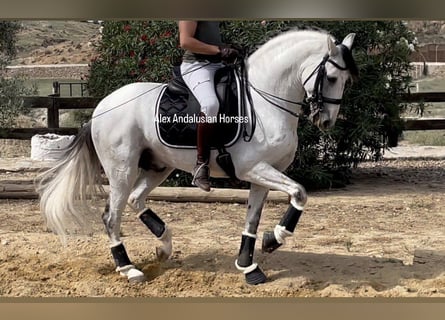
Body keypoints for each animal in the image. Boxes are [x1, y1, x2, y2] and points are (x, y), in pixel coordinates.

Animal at [37, 29, 358, 284]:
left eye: (346, 81)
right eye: (331, 77)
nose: (326, 122)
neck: (265, 101)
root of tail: (101, 107)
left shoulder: (263, 175)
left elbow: (253, 220)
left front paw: (251, 264)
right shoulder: (253, 168)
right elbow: (300, 192)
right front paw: (272, 240)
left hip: (158, 166)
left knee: (136, 200)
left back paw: (164, 245)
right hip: (121, 170)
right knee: (111, 216)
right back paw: (129, 269)